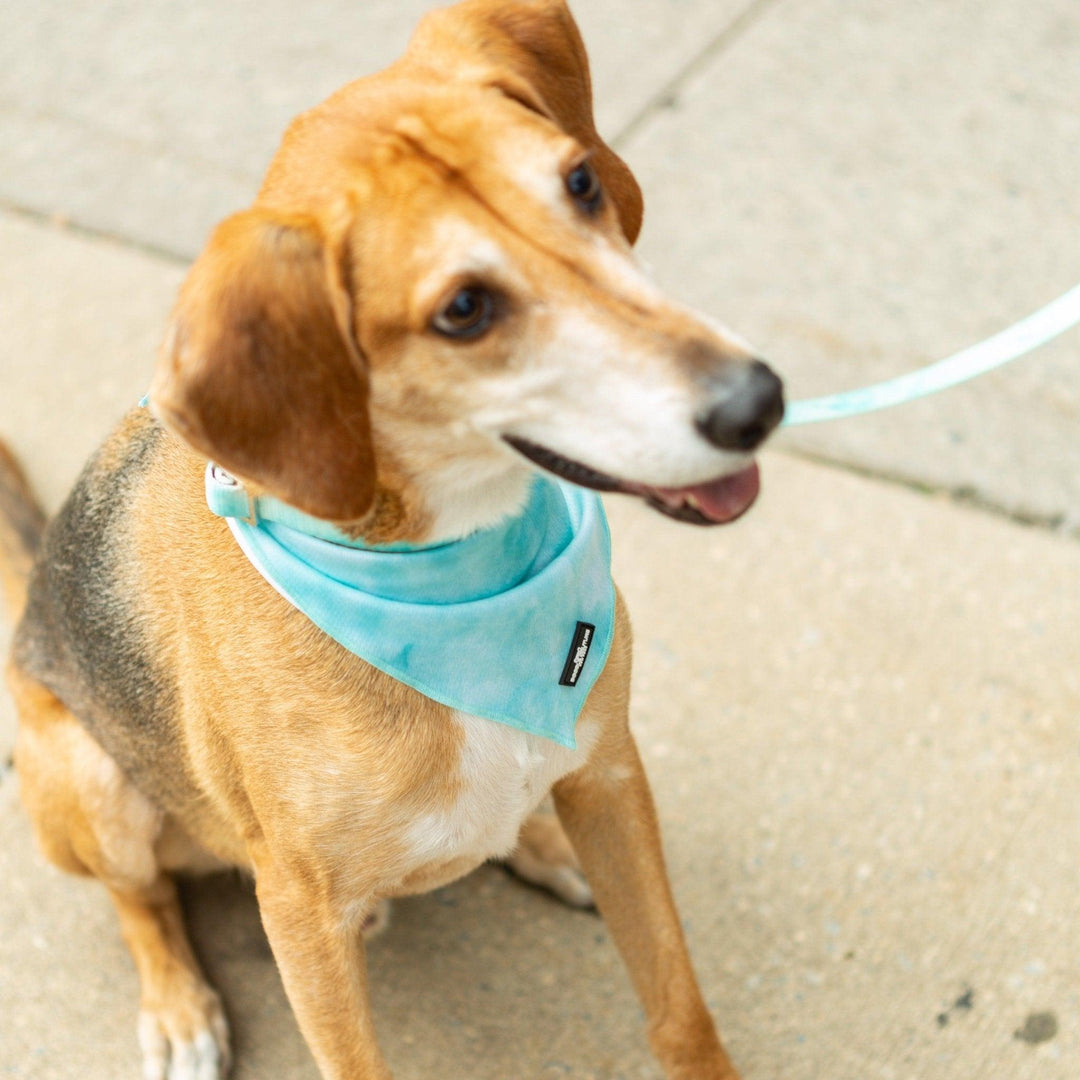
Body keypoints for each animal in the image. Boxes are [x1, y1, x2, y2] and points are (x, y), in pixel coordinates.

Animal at [0, 4, 781, 1075]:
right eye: (464, 310)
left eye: (581, 182)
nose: (758, 401)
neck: (447, 573)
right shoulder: (301, 916)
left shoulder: (615, 777)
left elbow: (679, 1009)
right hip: (90, 783)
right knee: (141, 897)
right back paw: (178, 1003)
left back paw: (538, 840)